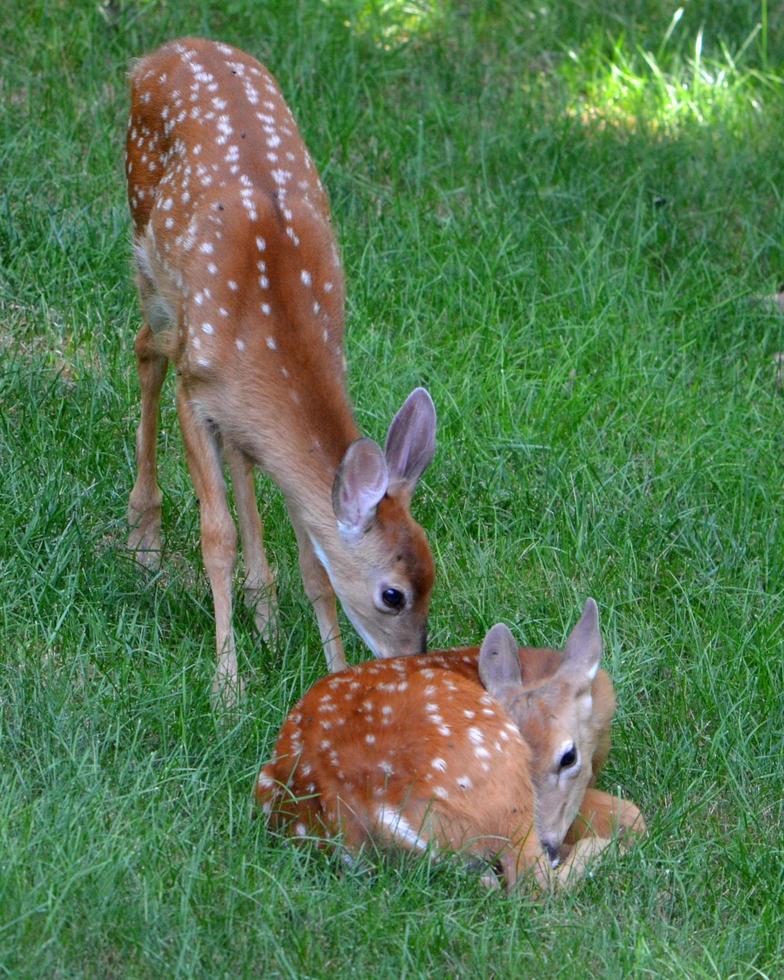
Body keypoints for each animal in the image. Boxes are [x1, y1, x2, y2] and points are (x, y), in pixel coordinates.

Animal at [125, 36, 438, 696]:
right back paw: (145, 539)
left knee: (240, 449)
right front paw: (227, 686)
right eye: (393, 595)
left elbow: (314, 563)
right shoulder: (196, 387)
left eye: (432, 574)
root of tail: (164, 52)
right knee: (144, 350)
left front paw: (332, 671)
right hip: (149, 258)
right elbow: (215, 535)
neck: (274, 330)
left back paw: (263, 609)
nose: (412, 661)